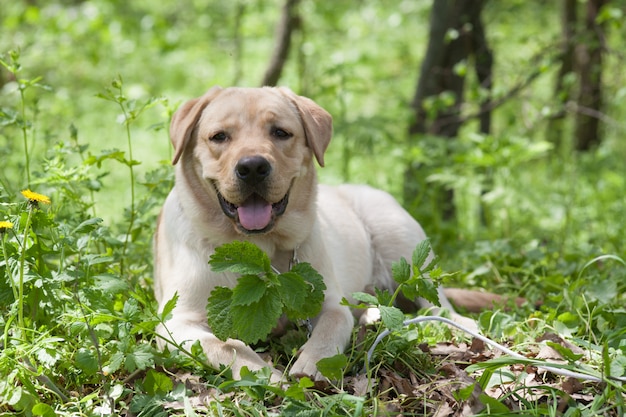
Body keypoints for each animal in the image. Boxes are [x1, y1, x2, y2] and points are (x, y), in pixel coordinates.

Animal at [154, 85, 476, 380]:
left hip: (401, 241)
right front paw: (264, 374)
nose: (253, 166)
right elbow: (228, 346)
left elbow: (330, 329)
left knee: (437, 303)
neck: (261, 248)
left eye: (280, 132)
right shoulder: (176, 322)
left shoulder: (330, 302)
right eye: (219, 136)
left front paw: (312, 365)